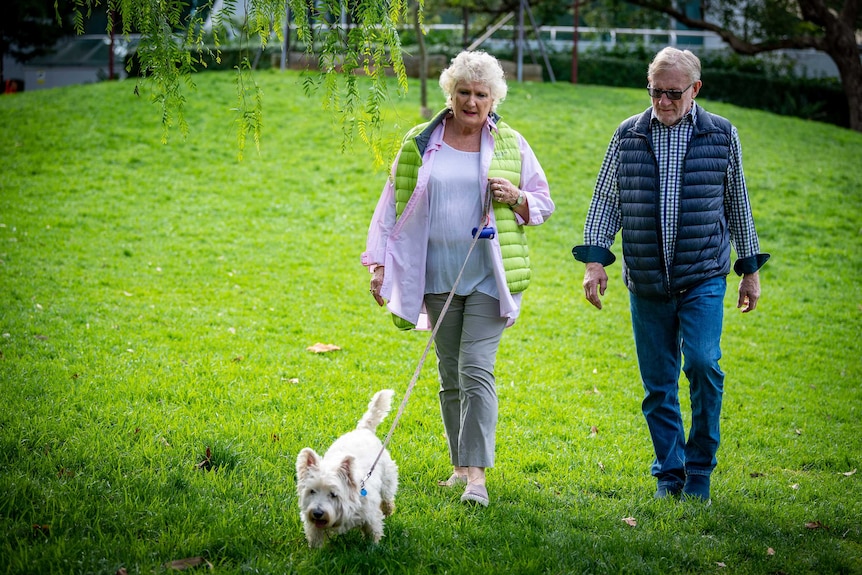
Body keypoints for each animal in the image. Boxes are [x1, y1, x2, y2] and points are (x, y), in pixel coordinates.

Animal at [296, 392, 400, 548]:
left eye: (333, 495)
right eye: (312, 491)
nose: (317, 513)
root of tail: (363, 430)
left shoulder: (370, 517)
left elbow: (373, 533)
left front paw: (373, 548)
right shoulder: (313, 525)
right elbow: (315, 538)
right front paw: (315, 551)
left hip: (387, 478)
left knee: (387, 497)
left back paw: (388, 510)